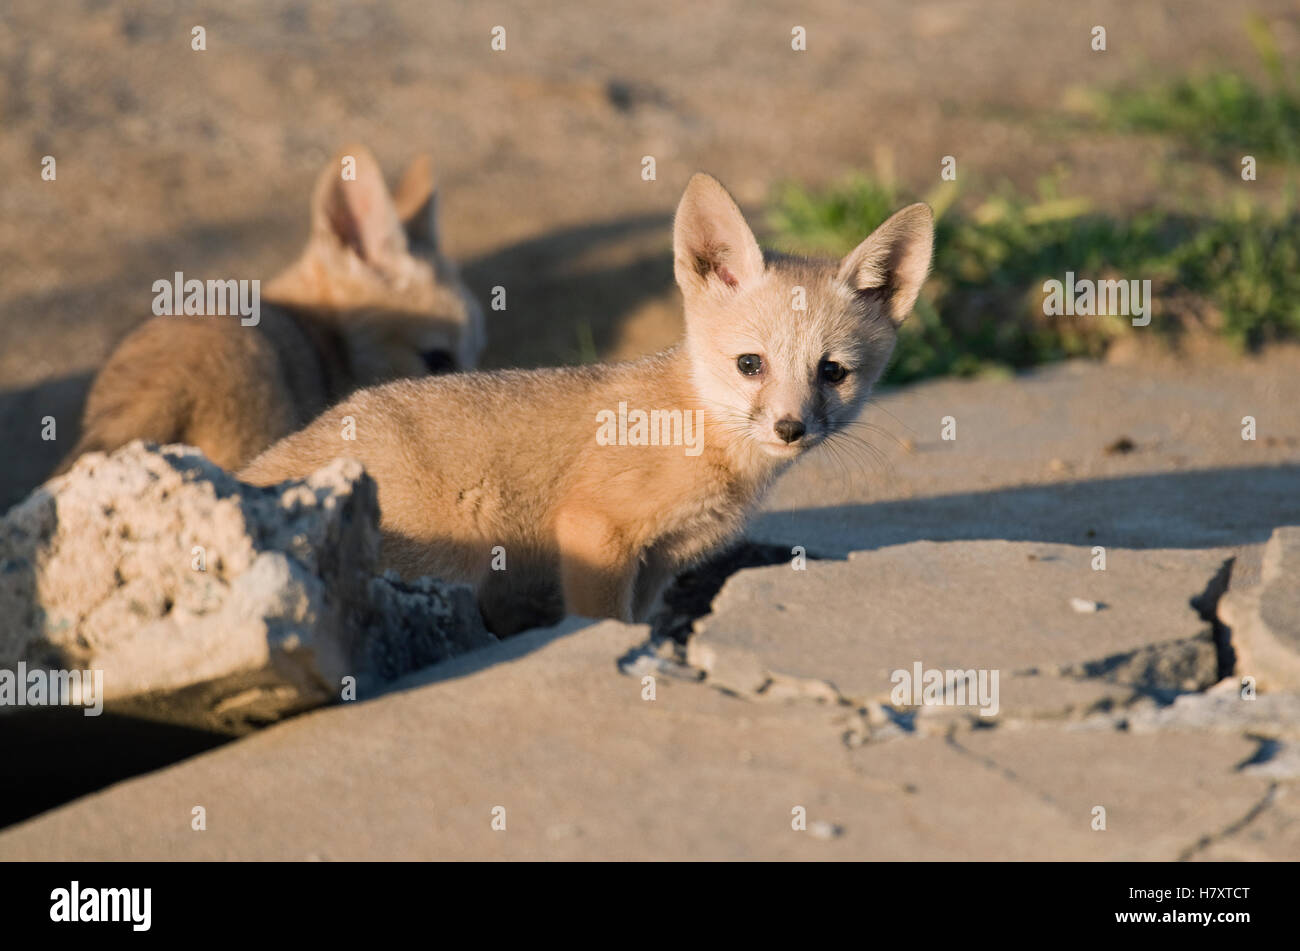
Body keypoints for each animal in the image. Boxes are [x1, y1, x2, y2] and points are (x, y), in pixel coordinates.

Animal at [241, 173, 933, 636]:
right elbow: (603, 622)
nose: (790, 428)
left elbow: (638, 621)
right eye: (750, 365)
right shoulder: (594, 532)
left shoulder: (661, 560)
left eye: (832, 372)